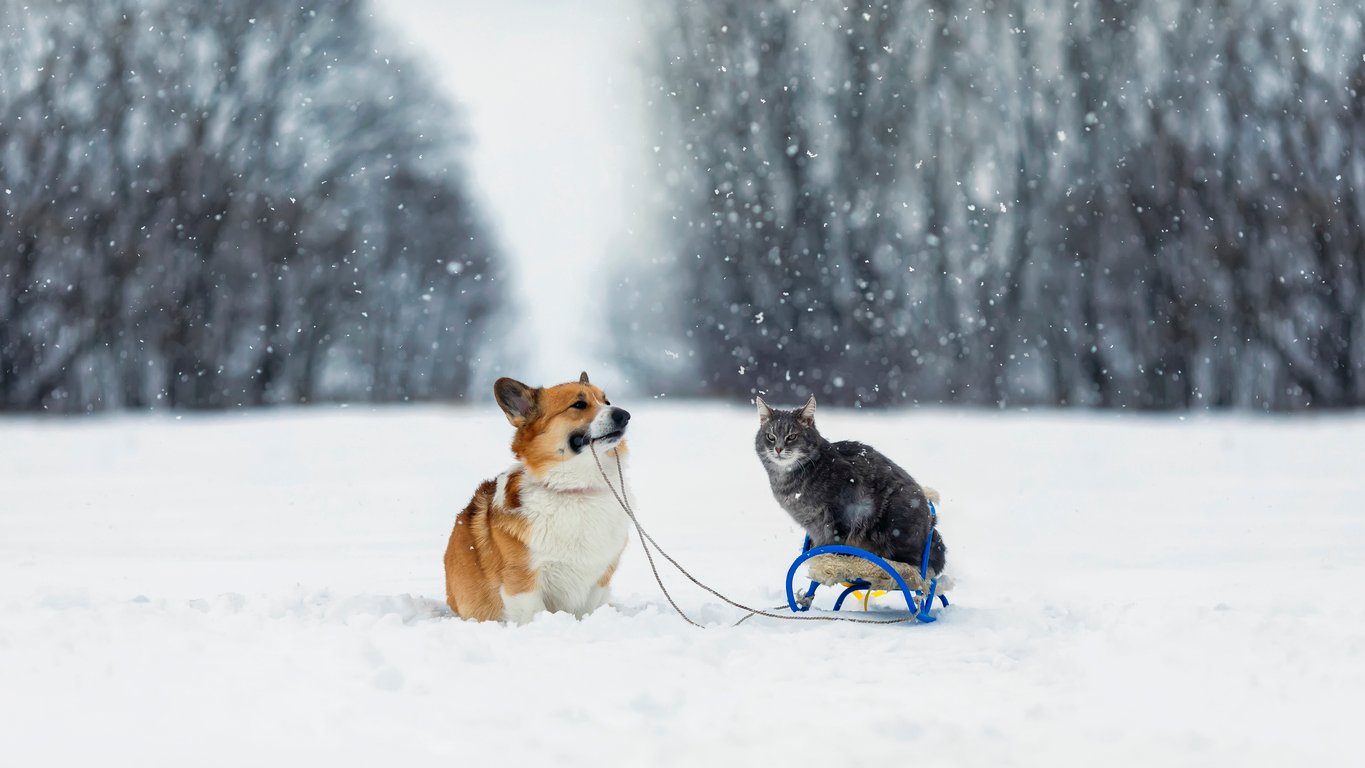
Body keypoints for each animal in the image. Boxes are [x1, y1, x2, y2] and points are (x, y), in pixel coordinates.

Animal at [444, 373, 630, 624]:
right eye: (579, 404)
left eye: (606, 401)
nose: (625, 415)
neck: (576, 489)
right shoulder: (523, 582)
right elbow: (535, 613)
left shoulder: (598, 578)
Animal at [753, 395, 944, 578]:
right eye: (770, 436)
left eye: (792, 436)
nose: (778, 449)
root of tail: (931, 525)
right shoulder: (813, 525)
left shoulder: (841, 511)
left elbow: (835, 542)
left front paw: (830, 560)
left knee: (909, 561)